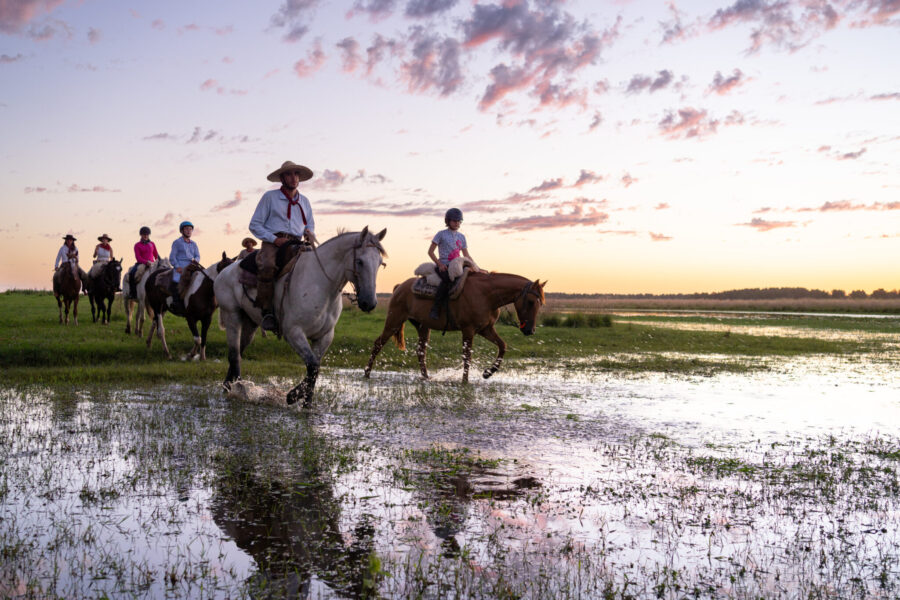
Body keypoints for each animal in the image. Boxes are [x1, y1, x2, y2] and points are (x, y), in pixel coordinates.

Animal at [214, 227, 387, 407]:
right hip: (232, 316)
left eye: (380, 263)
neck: (321, 284)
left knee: (240, 350)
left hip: (250, 323)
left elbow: (315, 368)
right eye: (359, 261)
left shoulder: (324, 336)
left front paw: (306, 402)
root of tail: (225, 271)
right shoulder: (294, 333)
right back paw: (236, 387)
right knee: (234, 354)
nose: (369, 303)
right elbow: (313, 366)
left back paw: (230, 385)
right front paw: (293, 396)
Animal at [364, 273, 546, 383]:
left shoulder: (486, 329)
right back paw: (366, 373)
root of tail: (399, 287)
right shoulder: (468, 330)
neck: (486, 295)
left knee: (421, 351)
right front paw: (465, 381)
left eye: (540, 304)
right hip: (394, 321)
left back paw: (426, 377)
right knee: (378, 343)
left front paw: (488, 373)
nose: (530, 330)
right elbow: (467, 356)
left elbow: (502, 346)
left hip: (423, 327)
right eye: (531, 302)